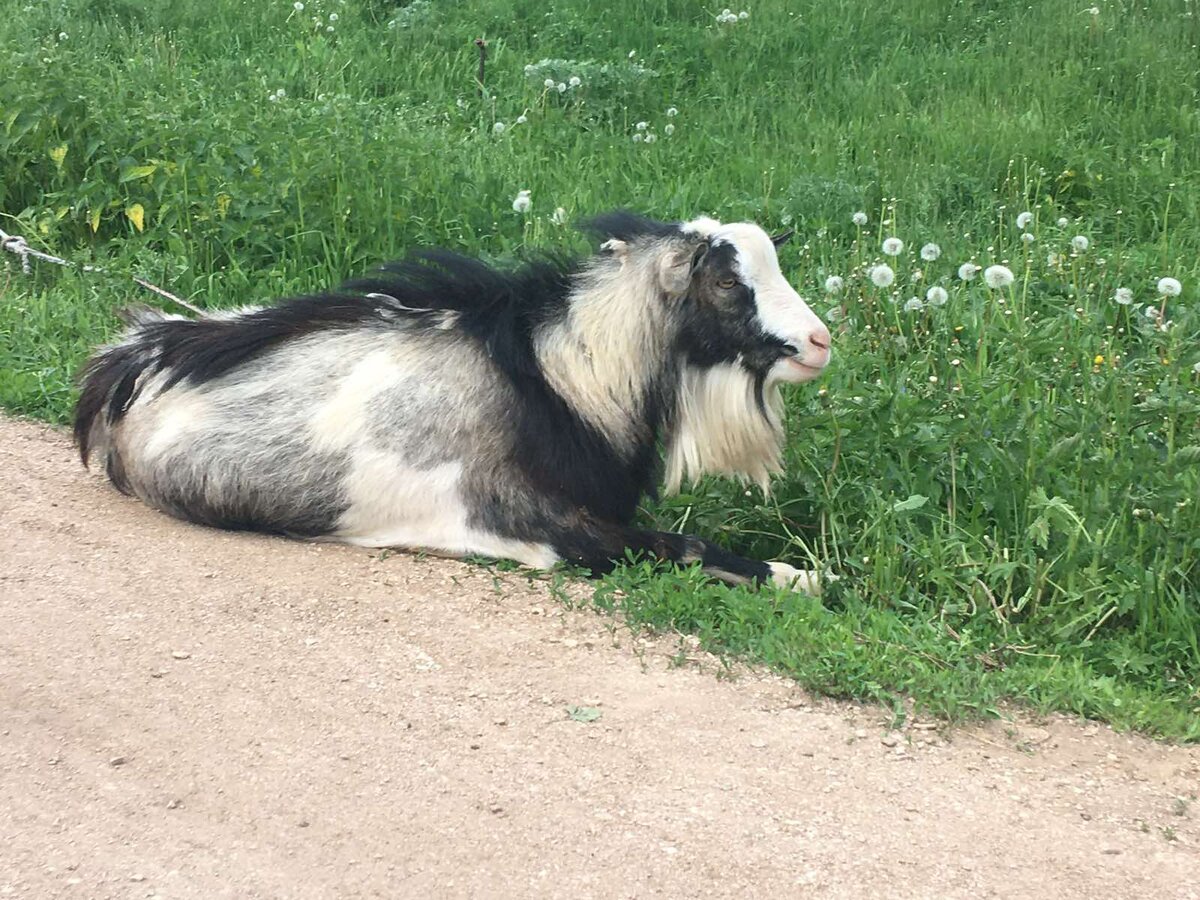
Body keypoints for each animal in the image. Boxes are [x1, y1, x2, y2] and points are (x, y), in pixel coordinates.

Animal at [70, 212, 830, 592]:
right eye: (727, 282)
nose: (819, 341)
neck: (561, 377)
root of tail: (133, 362)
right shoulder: (539, 523)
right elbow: (684, 544)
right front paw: (799, 575)